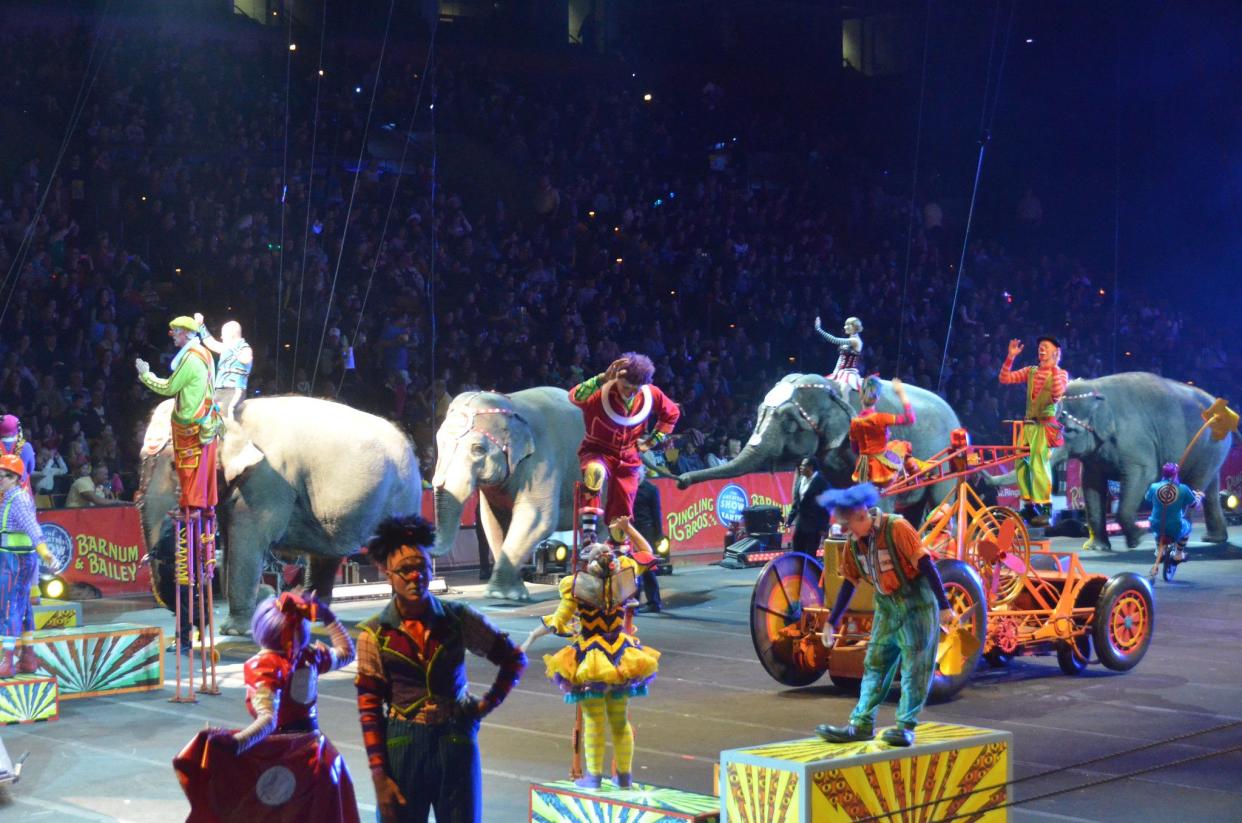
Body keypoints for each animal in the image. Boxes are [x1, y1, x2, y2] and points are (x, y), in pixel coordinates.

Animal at [138, 397, 422, 633]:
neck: (230, 415)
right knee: (326, 554)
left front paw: (233, 631)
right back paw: (312, 614)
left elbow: (246, 543)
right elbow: (231, 544)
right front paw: (258, 602)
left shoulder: (267, 481)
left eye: (175, 466)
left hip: (402, 495)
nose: (200, 622)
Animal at [432, 389, 586, 603]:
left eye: (478, 449)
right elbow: (492, 521)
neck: (510, 403)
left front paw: (501, 594)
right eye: (439, 443)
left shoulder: (543, 461)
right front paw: (506, 595)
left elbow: (537, 518)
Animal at [1048, 372, 1232, 553]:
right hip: (1211, 450)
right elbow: (1091, 484)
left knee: (1194, 486)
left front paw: (1137, 539)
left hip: (1210, 444)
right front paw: (1098, 548)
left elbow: (1143, 473)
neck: (1096, 388)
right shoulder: (1093, 456)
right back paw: (1214, 539)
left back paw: (1174, 540)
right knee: (1210, 489)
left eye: (1068, 430)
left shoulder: (1134, 441)